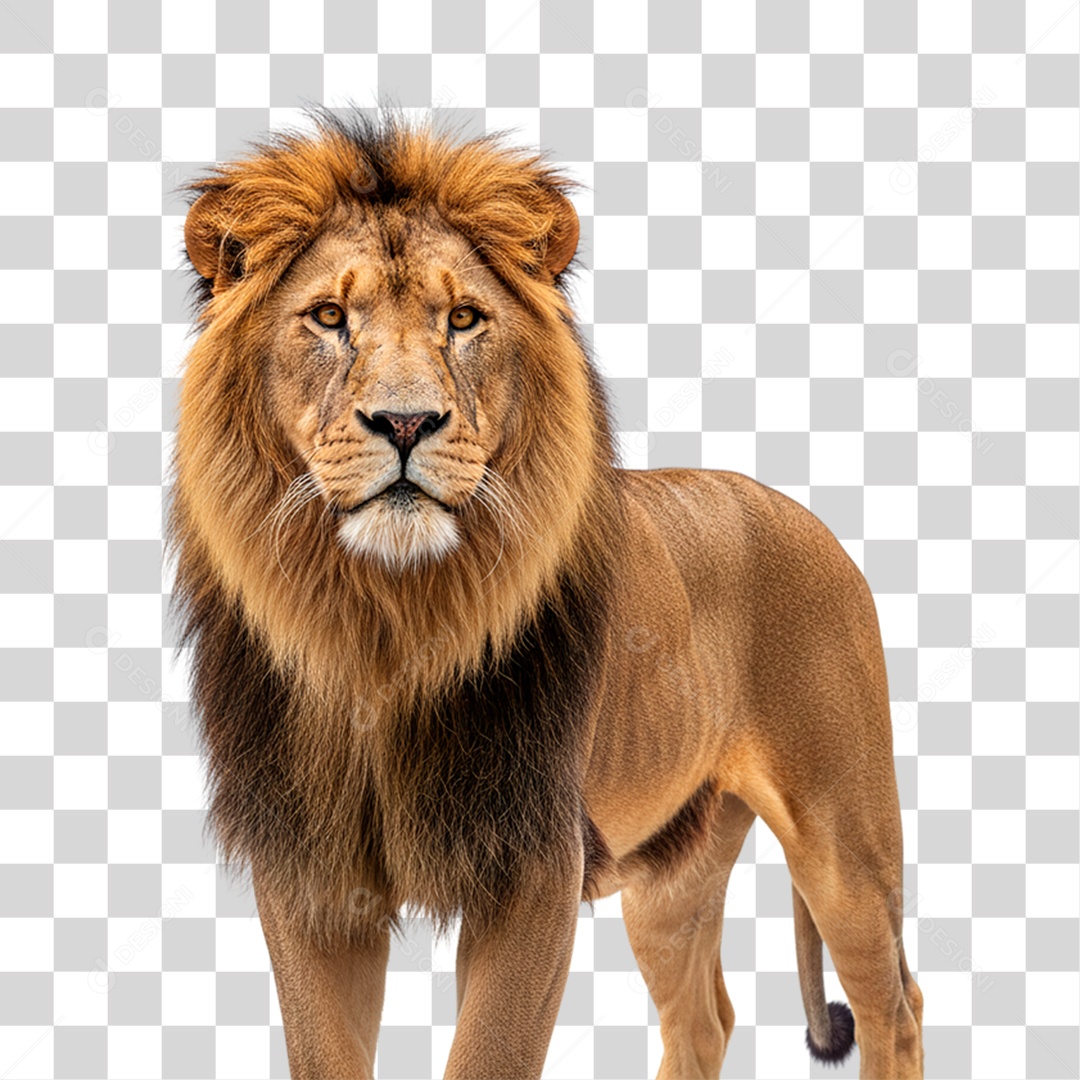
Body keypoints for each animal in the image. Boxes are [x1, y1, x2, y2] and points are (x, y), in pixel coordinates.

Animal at [169, 107, 923, 1079]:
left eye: (463, 318)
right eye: (329, 317)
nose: (406, 422)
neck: (382, 623)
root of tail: (807, 518)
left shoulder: (533, 865)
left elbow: (490, 1053)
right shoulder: (309, 871)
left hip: (842, 832)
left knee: (892, 1005)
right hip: (672, 866)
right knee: (704, 1016)